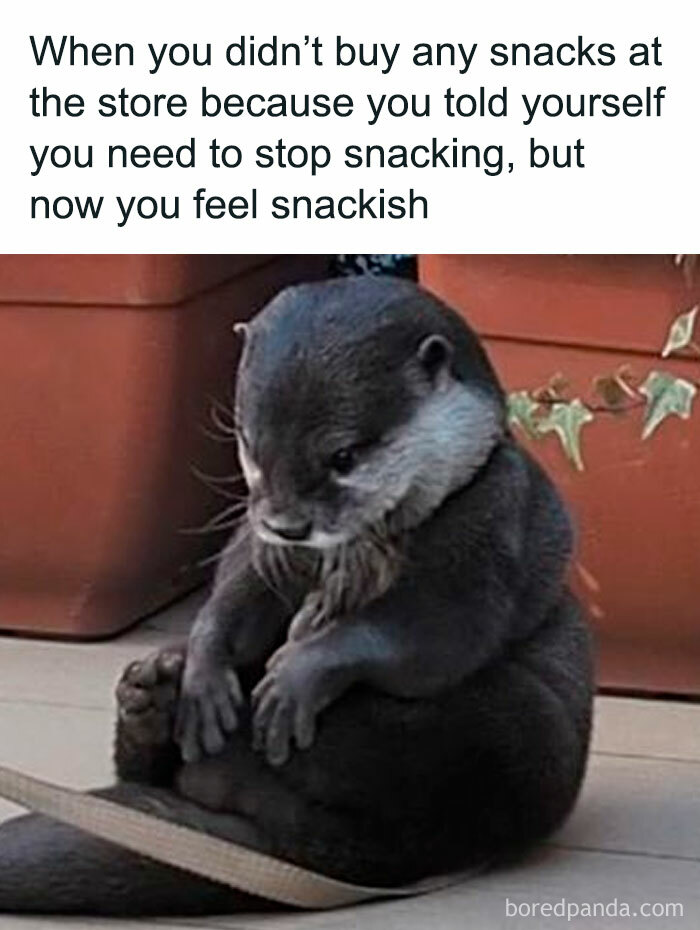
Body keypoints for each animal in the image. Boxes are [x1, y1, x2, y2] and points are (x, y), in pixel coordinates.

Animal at [0, 277, 593, 916]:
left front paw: (297, 676)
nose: (287, 525)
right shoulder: (256, 546)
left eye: (344, 456)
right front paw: (204, 672)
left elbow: (431, 633)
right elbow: (234, 604)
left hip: (509, 731)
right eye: (250, 443)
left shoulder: (491, 520)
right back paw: (155, 695)